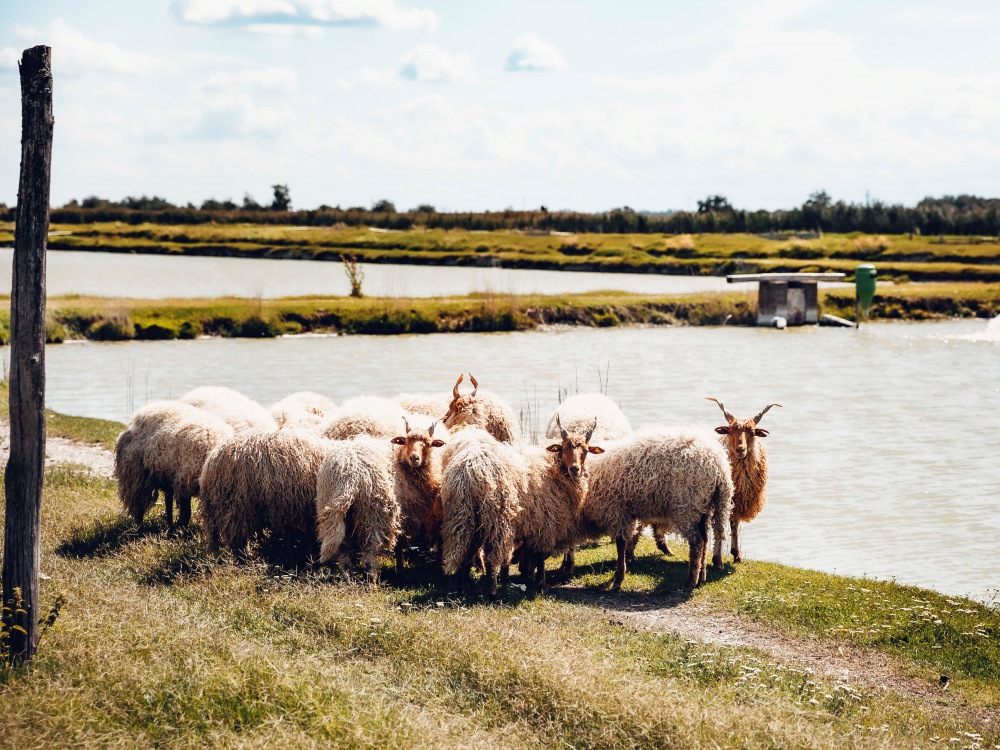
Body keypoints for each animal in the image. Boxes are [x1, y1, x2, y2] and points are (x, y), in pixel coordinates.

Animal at [113, 402, 232, 532]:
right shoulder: (184, 484)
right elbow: (186, 513)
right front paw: (183, 531)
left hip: (166, 475)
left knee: (167, 501)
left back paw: (169, 527)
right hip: (136, 478)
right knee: (138, 506)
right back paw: (140, 529)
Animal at [198, 426, 328, 556]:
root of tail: (211, 461)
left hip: (214, 509)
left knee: (213, 534)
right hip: (236, 507)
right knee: (237, 539)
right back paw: (245, 556)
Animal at [580, 428, 736, 592]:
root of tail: (719, 467)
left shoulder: (617, 510)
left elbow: (620, 543)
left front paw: (618, 579)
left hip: (686, 507)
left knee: (697, 542)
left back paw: (690, 582)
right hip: (703, 507)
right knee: (705, 540)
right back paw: (701, 578)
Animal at [704, 400, 780, 564]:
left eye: (752, 432)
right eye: (730, 431)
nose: (740, 449)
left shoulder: (738, 501)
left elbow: (734, 524)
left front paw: (736, 554)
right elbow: (719, 526)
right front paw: (717, 559)